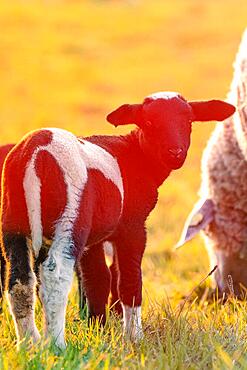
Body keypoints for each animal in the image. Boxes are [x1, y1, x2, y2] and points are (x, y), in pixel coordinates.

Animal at [0, 92, 234, 346]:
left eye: (189, 121)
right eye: (149, 122)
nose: (175, 153)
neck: (136, 156)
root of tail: (35, 154)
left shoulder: (96, 237)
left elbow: (97, 280)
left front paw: (97, 328)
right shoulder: (133, 226)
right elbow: (129, 281)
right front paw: (133, 336)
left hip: (14, 221)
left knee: (20, 281)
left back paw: (29, 343)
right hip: (70, 218)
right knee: (56, 274)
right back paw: (56, 344)